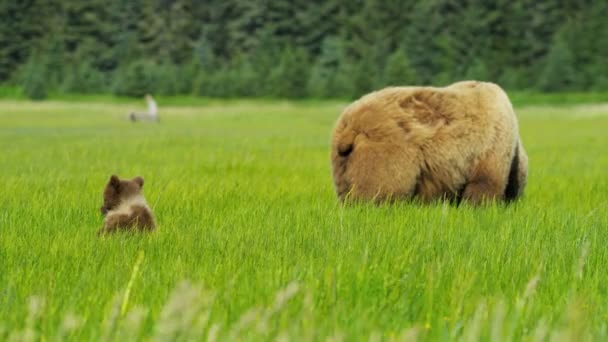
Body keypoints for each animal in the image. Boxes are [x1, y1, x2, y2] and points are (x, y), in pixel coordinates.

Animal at [332, 81, 528, 203]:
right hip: (385, 152)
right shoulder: (490, 148)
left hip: (342, 162)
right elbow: (483, 188)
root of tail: (350, 127)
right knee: (378, 193)